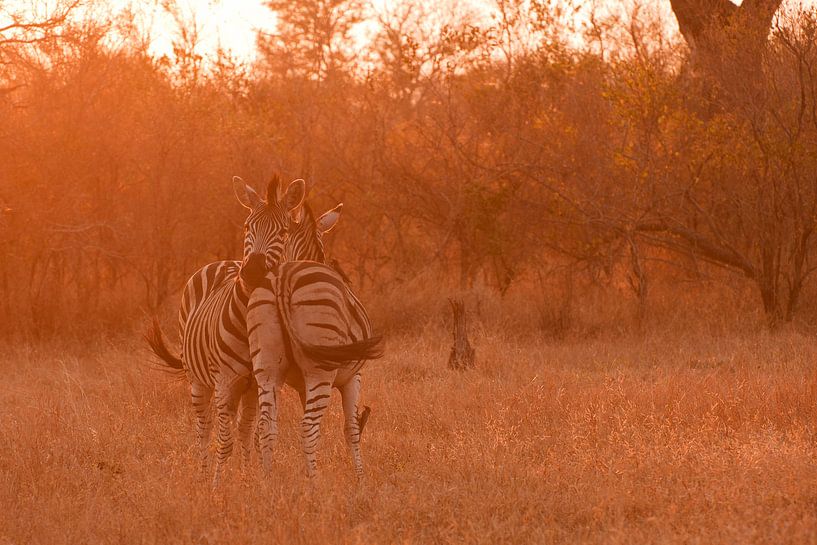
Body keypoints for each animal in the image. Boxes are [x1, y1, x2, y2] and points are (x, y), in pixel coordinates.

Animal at [143, 174, 306, 484]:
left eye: (283, 231)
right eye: (247, 227)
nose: (252, 272)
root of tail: (224, 262)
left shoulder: (261, 381)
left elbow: (255, 434)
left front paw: (253, 478)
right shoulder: (224, 381)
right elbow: (224, 440)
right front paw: (217, 485)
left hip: (244, 389)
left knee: (242, 427)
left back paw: (242, 473)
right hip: (200, 381)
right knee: (205, 429)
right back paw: (204, 475)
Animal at [247, 260, 384, 476]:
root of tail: (284, 276)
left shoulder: (303, 387)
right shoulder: (354, 378)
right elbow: (351, 429)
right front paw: (360, 478)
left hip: (267, 367)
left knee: (266, 426)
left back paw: (268, 479)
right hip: (319, 371)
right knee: (308, 426)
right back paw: (315, 482)